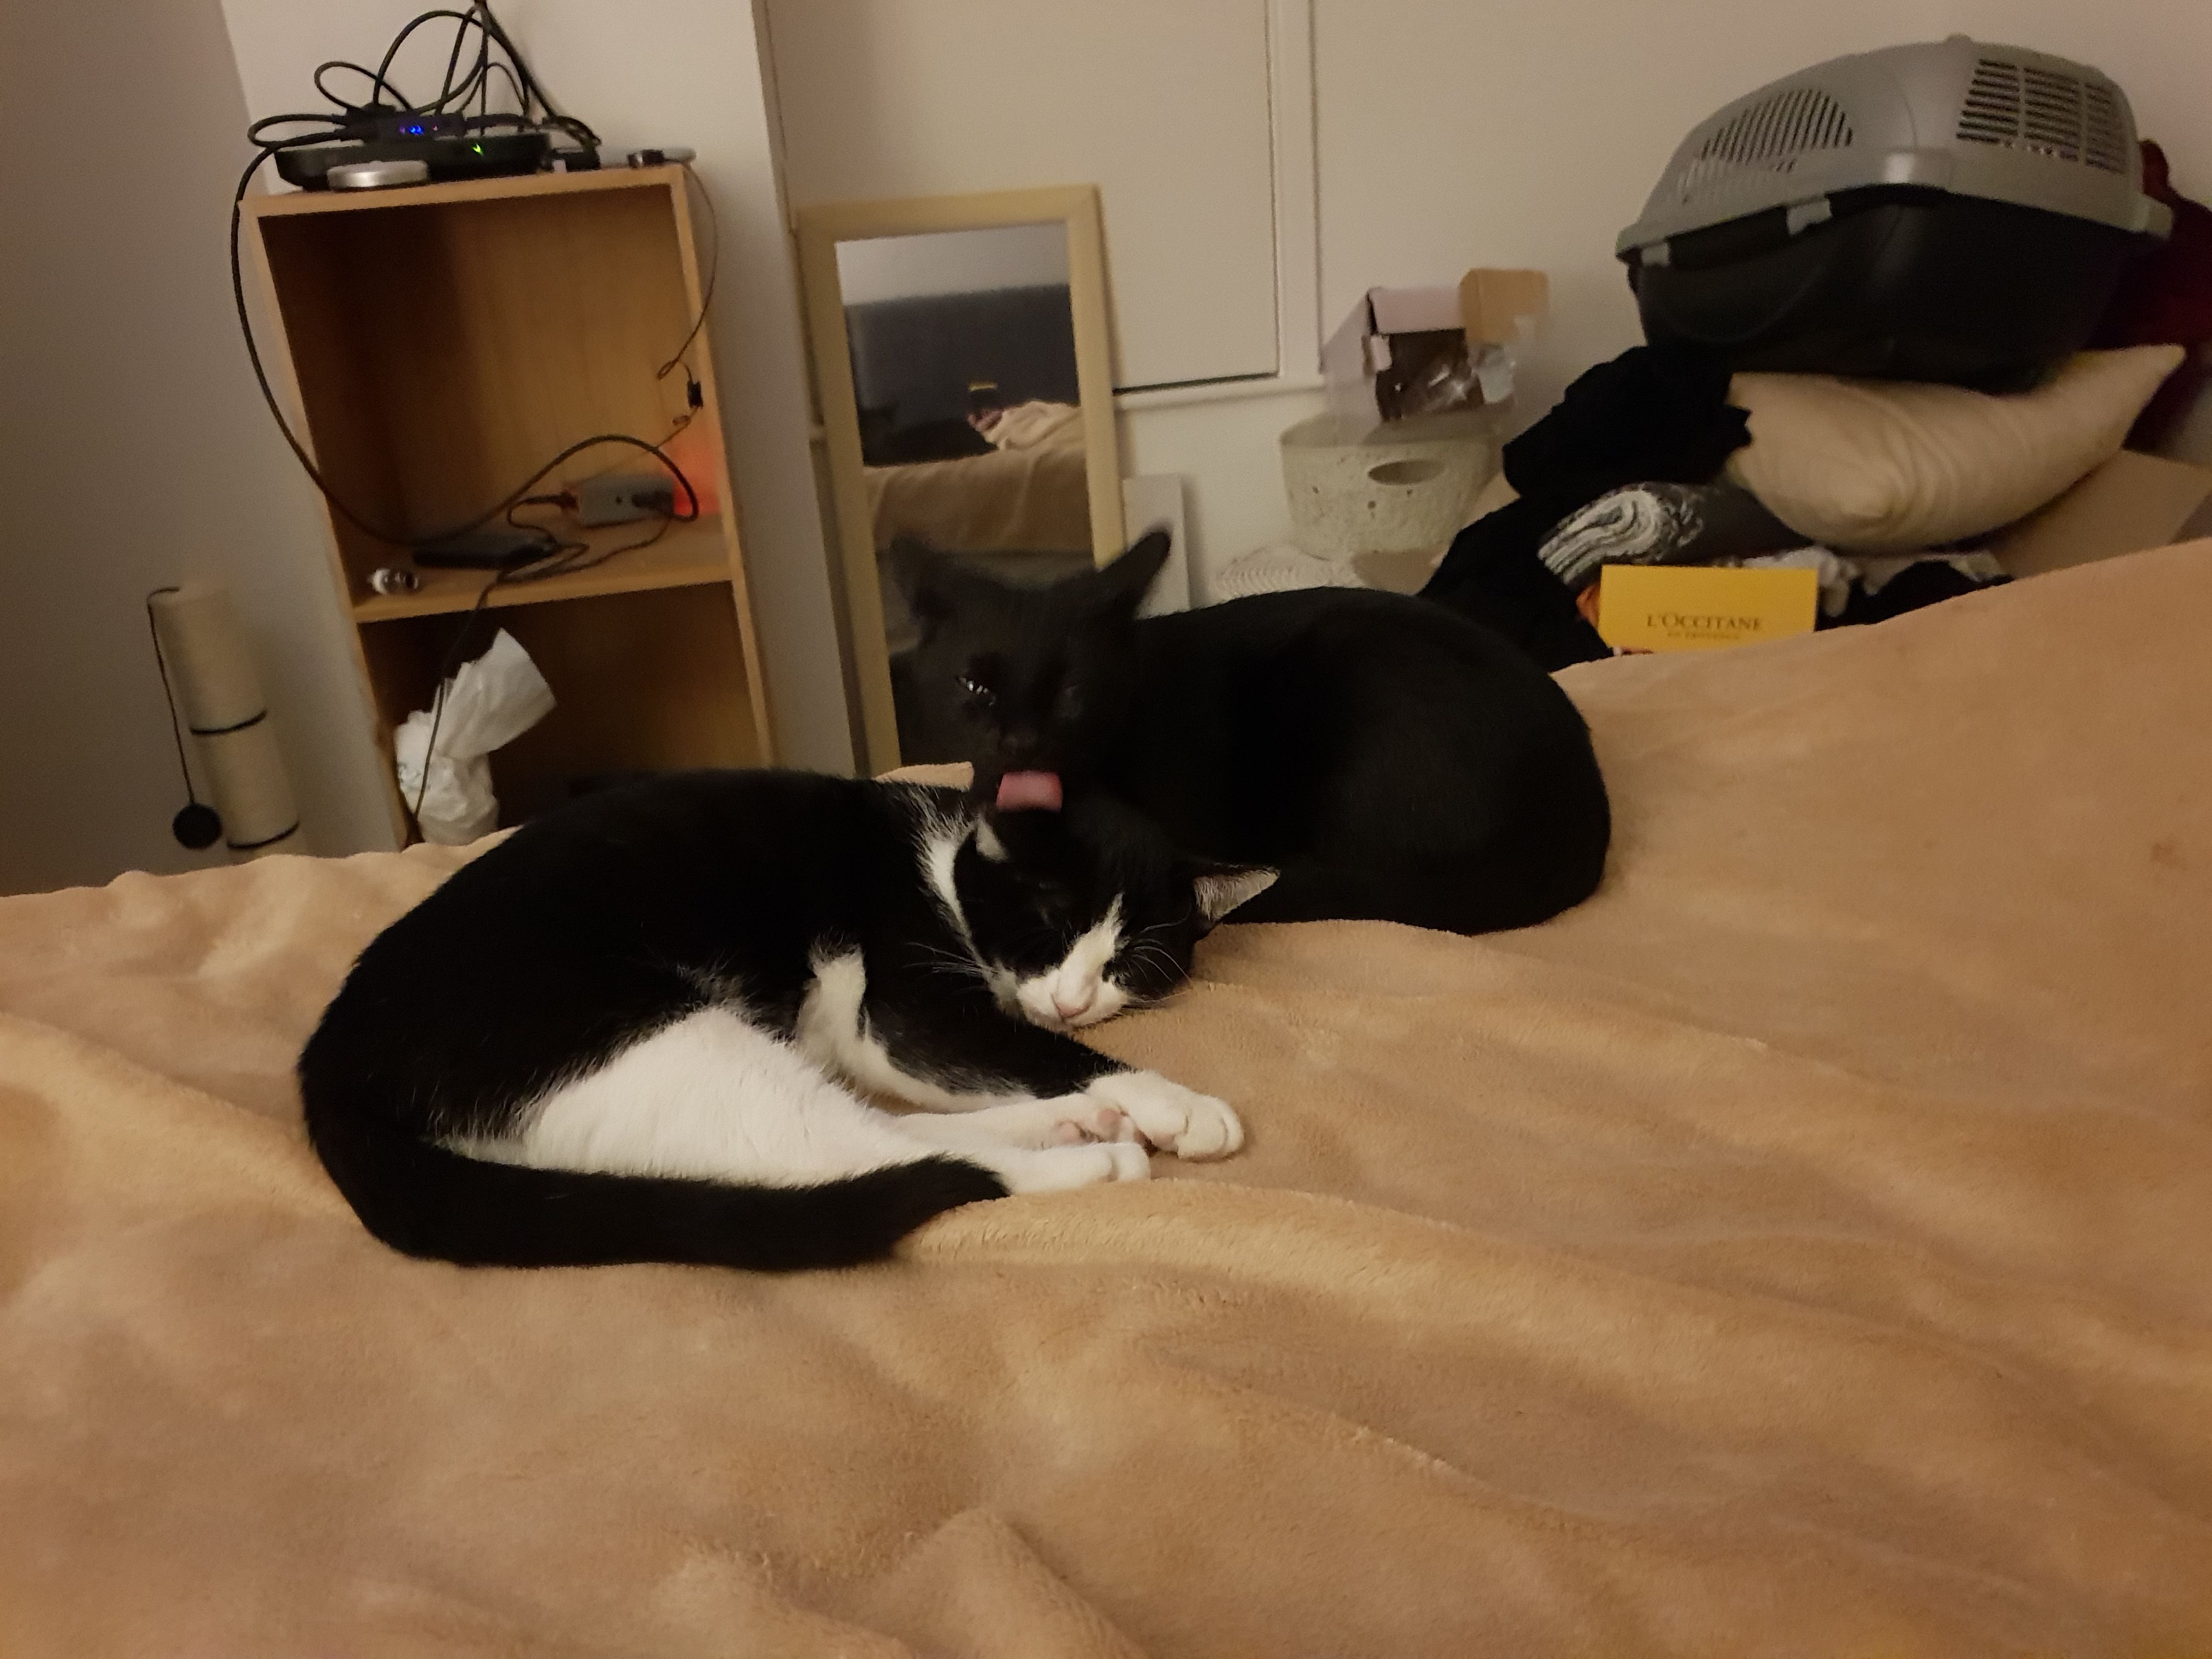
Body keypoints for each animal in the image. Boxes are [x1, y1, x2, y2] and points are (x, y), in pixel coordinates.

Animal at [298, 769, 1275, 1273]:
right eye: (1049, 924)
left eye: (1129, 964)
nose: (1075, 998)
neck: (947, 856)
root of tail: (328, 1065)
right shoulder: (911, 1011)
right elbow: (1033, 1048)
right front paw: (1176, 1103)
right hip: (639, 1037)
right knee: (840, 1151)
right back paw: (1092, 1158)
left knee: (882, 1136)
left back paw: (1078, 1126)